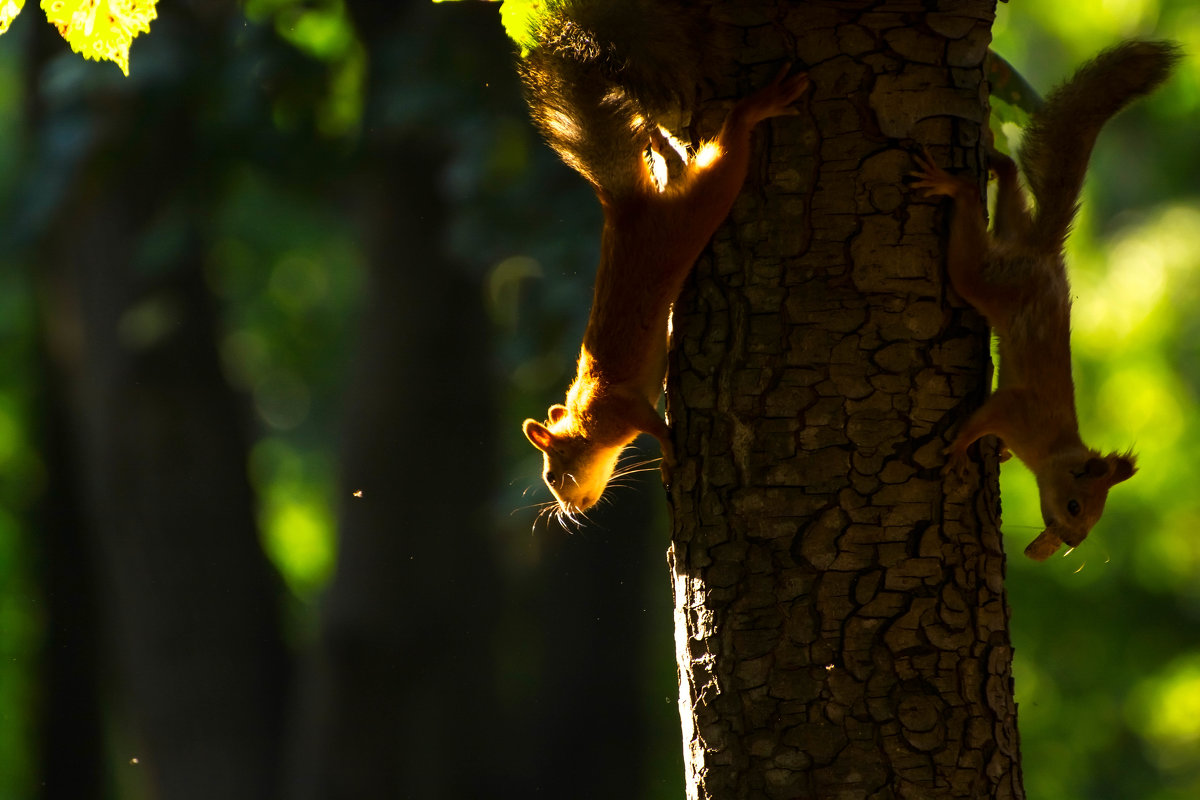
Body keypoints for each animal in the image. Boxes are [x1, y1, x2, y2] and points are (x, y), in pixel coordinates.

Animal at [520, 1, 811, 520]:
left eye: (553, 476)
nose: (569, 511)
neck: (586, 420)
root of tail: (625, 207)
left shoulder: (623, 409)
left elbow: (656, 427)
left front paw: (671, 457)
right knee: (679, 165)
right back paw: (664, 145)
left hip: (693, 214)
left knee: (730, 147)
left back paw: (757, 108)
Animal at [907, 40, 1180, 561]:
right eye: (1075, 506)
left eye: (1091, 525)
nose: (1070, 541)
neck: (1053, 447)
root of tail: (1044, 254)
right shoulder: (1015, 409)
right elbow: (984, 417)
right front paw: (962, 448)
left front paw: (997, 452)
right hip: (987, 280)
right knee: (969, 248)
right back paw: (957, 186)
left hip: (1009, 237)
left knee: (1012, 187)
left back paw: (995, 159)